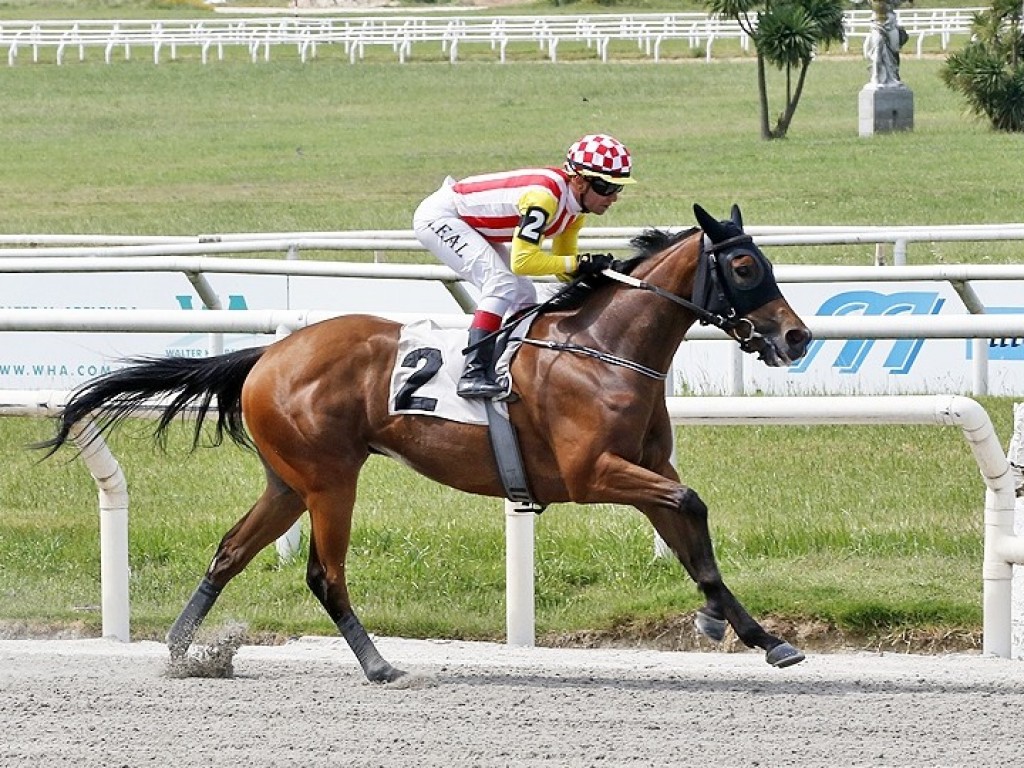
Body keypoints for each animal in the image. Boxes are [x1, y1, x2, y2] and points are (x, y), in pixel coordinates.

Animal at [37, 202, 806, 679]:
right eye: (745, 267)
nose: (796, 337)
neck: (603, 349)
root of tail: (268, 355)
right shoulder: (592, 474)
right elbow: (694, 504)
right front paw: (723, 625)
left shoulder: (643, 472)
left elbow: (693, 539)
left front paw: (757, 636)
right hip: (330, 479)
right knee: (324, 573)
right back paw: (379, 665)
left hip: (289, 481)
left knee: (230, 552)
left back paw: (179, 651)